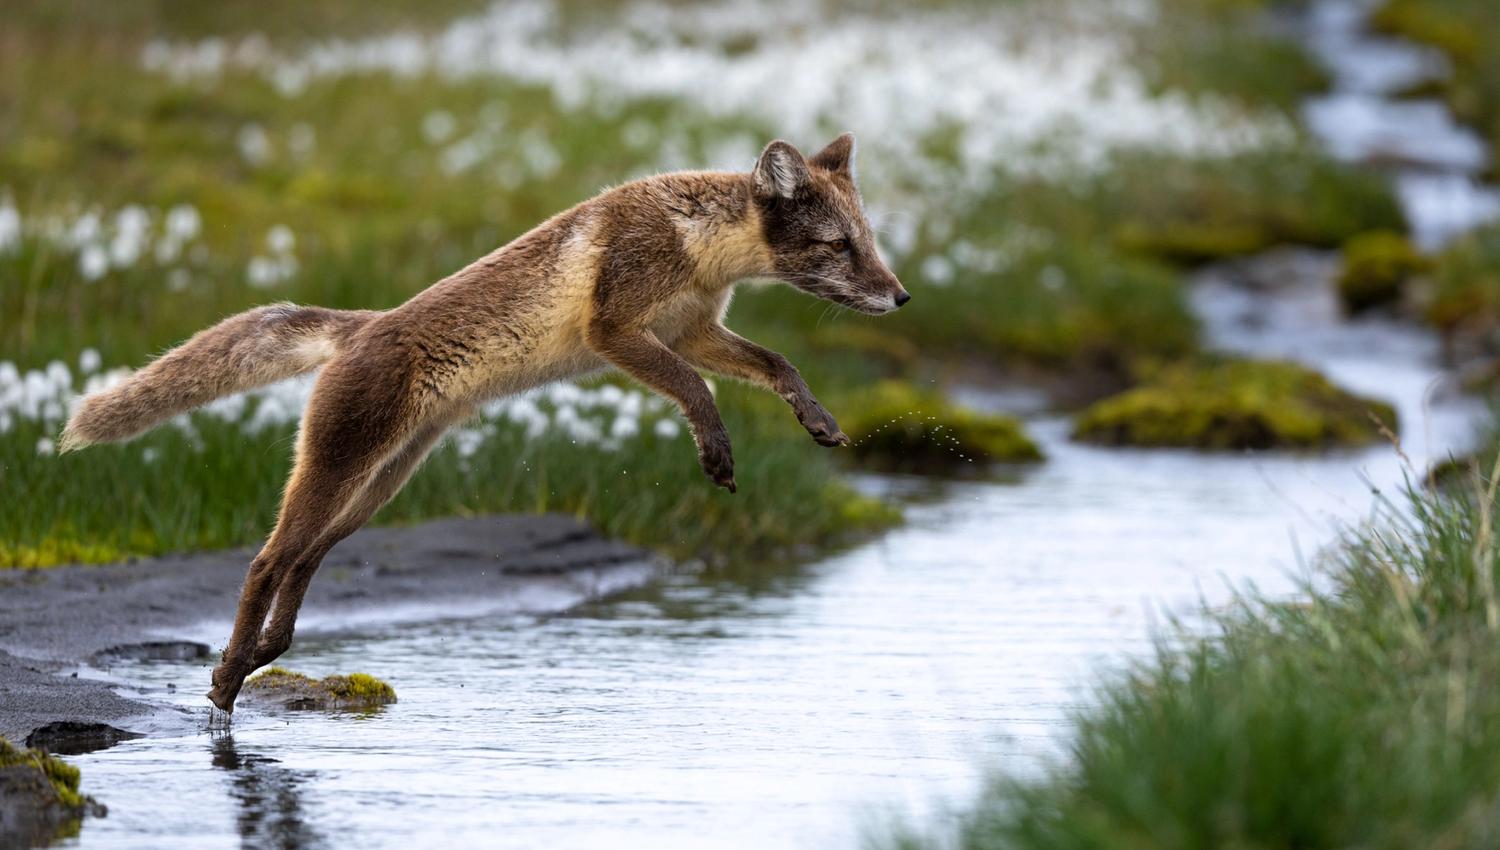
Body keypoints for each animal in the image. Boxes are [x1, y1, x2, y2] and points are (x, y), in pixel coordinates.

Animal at [60, 132, 909, 714]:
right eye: (839, 246)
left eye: (868, 241)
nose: (900, 297)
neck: (695, 248)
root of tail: (362, 327)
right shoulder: (618, 333)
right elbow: (697, 392)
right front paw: (717, 451)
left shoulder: (693, 329)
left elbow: (777, 364)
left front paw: (816, 418)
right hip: (339, 469)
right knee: (265, 561)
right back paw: (231, 675)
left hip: (376, 491)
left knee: (304, 559)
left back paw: (270, 649)